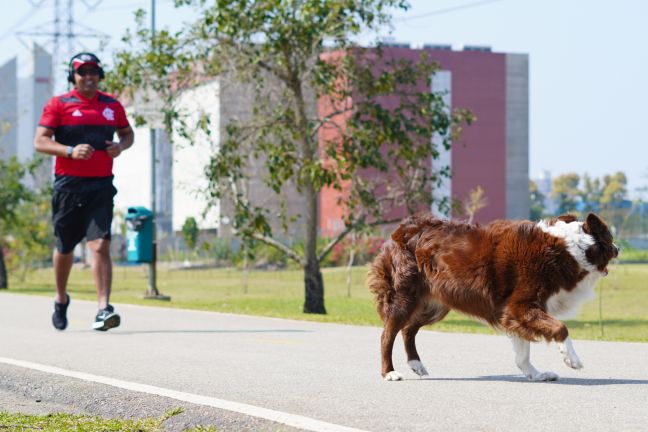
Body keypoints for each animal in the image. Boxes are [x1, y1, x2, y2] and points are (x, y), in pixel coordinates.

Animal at [370, 213, 616, 382]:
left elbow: (522, 352)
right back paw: (389, 372)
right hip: (405, 297)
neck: (567, 249)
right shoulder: (519, 306)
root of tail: (403, 229)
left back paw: (416, 364)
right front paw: (571, 359)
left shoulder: (514, 314)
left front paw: (535, 374)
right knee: (387, 335)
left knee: (408, 329)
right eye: (611, 238)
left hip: (435, 304)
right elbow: (560, 328)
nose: (619, 248)